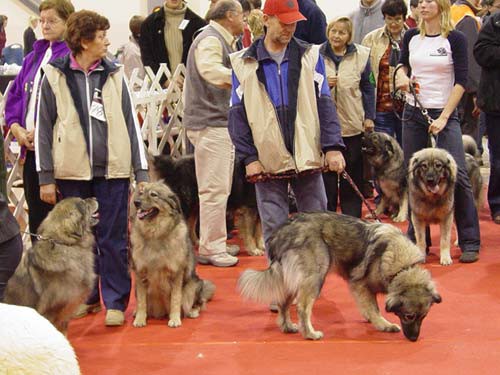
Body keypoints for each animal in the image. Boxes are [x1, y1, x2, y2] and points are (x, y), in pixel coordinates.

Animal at [130, 182, 214, 328]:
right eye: (141, 192)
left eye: (153, 195)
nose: (136, 202)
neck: (155, 234)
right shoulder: (140, 273)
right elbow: (141, 302)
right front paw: (140, 319)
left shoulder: (176, 273)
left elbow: (175, 299)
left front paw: (174, 319)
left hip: (194, 284)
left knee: (198, 302)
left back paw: (192, 311)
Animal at [238, 213, 442, 342]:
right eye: (409, 316)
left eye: (423, 316)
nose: (414, 339)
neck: (402, 266)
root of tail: (282, 234)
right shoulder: (360, 284)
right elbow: (374, 308)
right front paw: (383, 324)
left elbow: (368, 307)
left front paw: (370, 318)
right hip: (315, 277)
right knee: (303, 307)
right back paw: (310, 334)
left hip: (291, 279)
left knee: (283, 303)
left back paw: (288, 327)